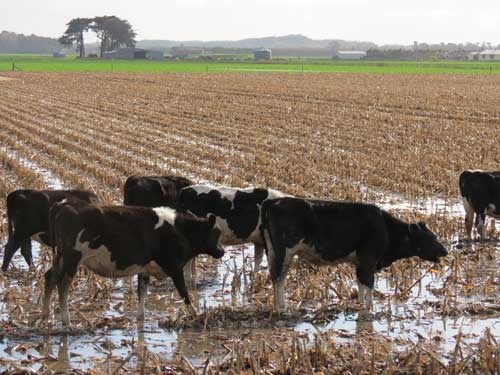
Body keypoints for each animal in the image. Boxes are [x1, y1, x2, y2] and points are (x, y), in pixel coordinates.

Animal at [42, 204, 223, 328]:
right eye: (216, 233)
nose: (221, 251)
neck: (179, 229)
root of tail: (64, 206)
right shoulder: (175, 268)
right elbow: (184, 293)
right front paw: (196, 315)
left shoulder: (145, 269)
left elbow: (142, 293)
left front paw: (140, 318)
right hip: (72, 259)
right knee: (62, 285)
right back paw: (66, 321)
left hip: (60, 258)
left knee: (49, 278)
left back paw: (46, 316)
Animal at [260, 198, 448, 312]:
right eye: (430, 237)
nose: (445, 251)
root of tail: (274, 201)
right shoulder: (369, 260)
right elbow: (369, 284)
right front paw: (369, 307)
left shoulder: (360, 262)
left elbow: (360, 283)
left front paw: (360, 303)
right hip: (285, 250)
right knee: (279, 277)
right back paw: (281, 306)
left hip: (272, 251)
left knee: (275, 275)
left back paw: (277, 305)